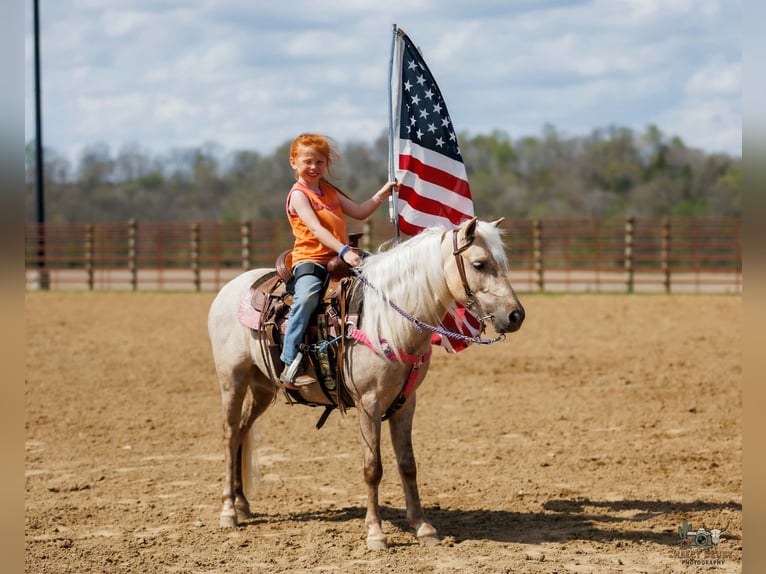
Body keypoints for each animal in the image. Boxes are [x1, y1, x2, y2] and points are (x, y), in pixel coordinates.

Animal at [207, 217, 525, 550]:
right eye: (479, 263)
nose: (516, 315)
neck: (386, 319)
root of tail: (230, 288)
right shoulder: (369, 403)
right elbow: (373, 467)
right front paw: (375, 533)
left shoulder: (406, 403)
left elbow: (408, 464)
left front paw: (423, 526)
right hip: (232, 379)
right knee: (230, 434)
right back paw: (228, 511)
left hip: (262, 388)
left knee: (243, 431)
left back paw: (243, 503)